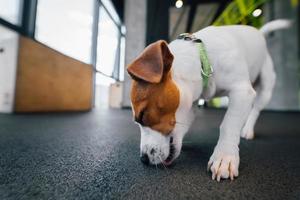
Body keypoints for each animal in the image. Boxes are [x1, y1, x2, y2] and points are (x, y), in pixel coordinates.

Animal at [126, 19, 290, 181]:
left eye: (143, 115)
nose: (143, 159)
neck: (202, 59)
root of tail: (259, 34)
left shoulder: (243, 92)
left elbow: (229, 124)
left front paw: (225, 156)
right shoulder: (191, 103)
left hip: (266, 88)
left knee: (255, 109)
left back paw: (247, 129)